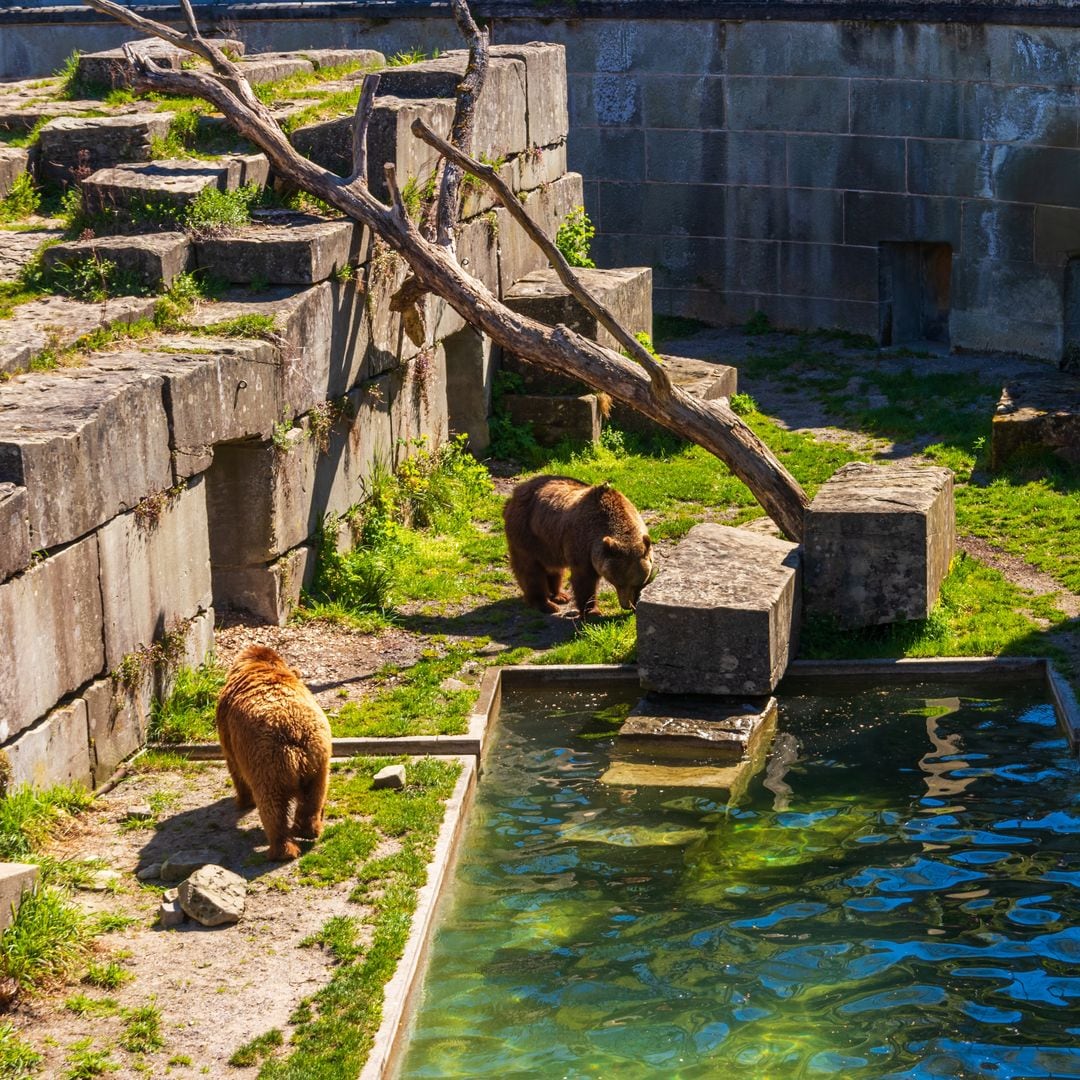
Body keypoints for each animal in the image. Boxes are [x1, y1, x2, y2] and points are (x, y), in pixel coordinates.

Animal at [215, 645, 333, 861]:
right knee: (315, 794)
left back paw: (281, 850)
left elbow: (234, 766)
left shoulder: (228, 730)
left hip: (267, 761)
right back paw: (308, 830)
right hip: (318, 757)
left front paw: (242, 801)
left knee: (272, 805)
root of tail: (295, 735)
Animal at [503, 475, 654, 616]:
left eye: (637, 583)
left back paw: (560, 596)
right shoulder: (582, 544)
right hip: (527, 534)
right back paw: (545, 604)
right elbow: (584, 580)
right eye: (618, 582)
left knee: (554, 569)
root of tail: (517, 491)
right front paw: (592, 611)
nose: (626, 605)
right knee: (530, 571)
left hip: (550, 543)